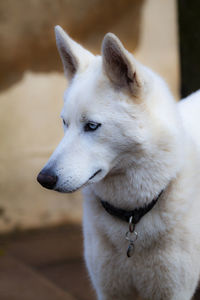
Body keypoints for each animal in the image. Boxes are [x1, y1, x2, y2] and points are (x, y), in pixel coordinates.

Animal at [36, 26, 200, 300]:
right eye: (65, 123)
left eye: (92, 126)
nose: (44, 179)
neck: (132, 216)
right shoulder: (109, 290)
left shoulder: (173, 291)